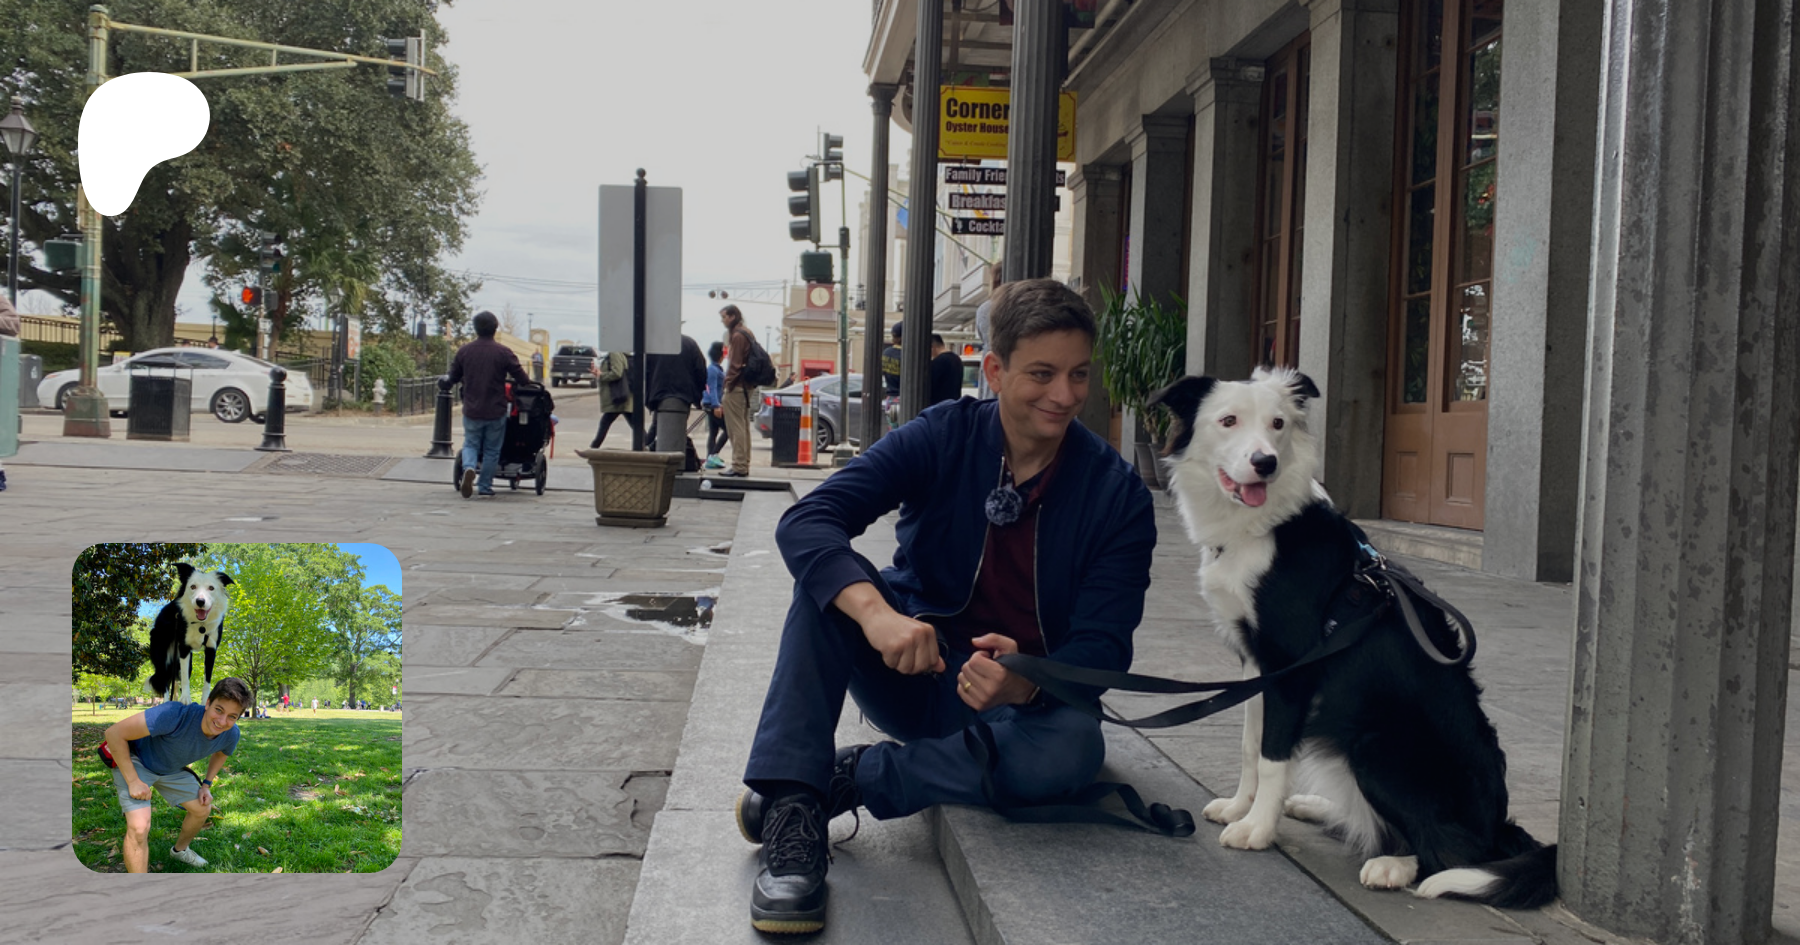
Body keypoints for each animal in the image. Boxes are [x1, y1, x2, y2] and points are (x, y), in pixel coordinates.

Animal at [146, 562, 234, 704]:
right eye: (193, 586)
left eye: (211, 588)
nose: (200, 601)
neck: (201, 625)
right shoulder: (184, 648)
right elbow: (185, 678)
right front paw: (185, 699)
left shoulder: (211, 649)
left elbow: (206, 681)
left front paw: (204, 702)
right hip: (162, 657)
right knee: (165, 681)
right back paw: (166, 702)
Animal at [1146, 366, 1556, 909]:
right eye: (1228, 420)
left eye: (1277, 423)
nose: (1265, 463)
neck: (1267, 526)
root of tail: (1500, 825)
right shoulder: (1257, 663)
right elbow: (1251, 744)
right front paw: (1240, 807)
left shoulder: (1291, 668)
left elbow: (1273, 754)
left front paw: (1257, 829)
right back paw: (1318, 807)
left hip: (1374, 745)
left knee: (1451, 850)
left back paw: (1395, 865)